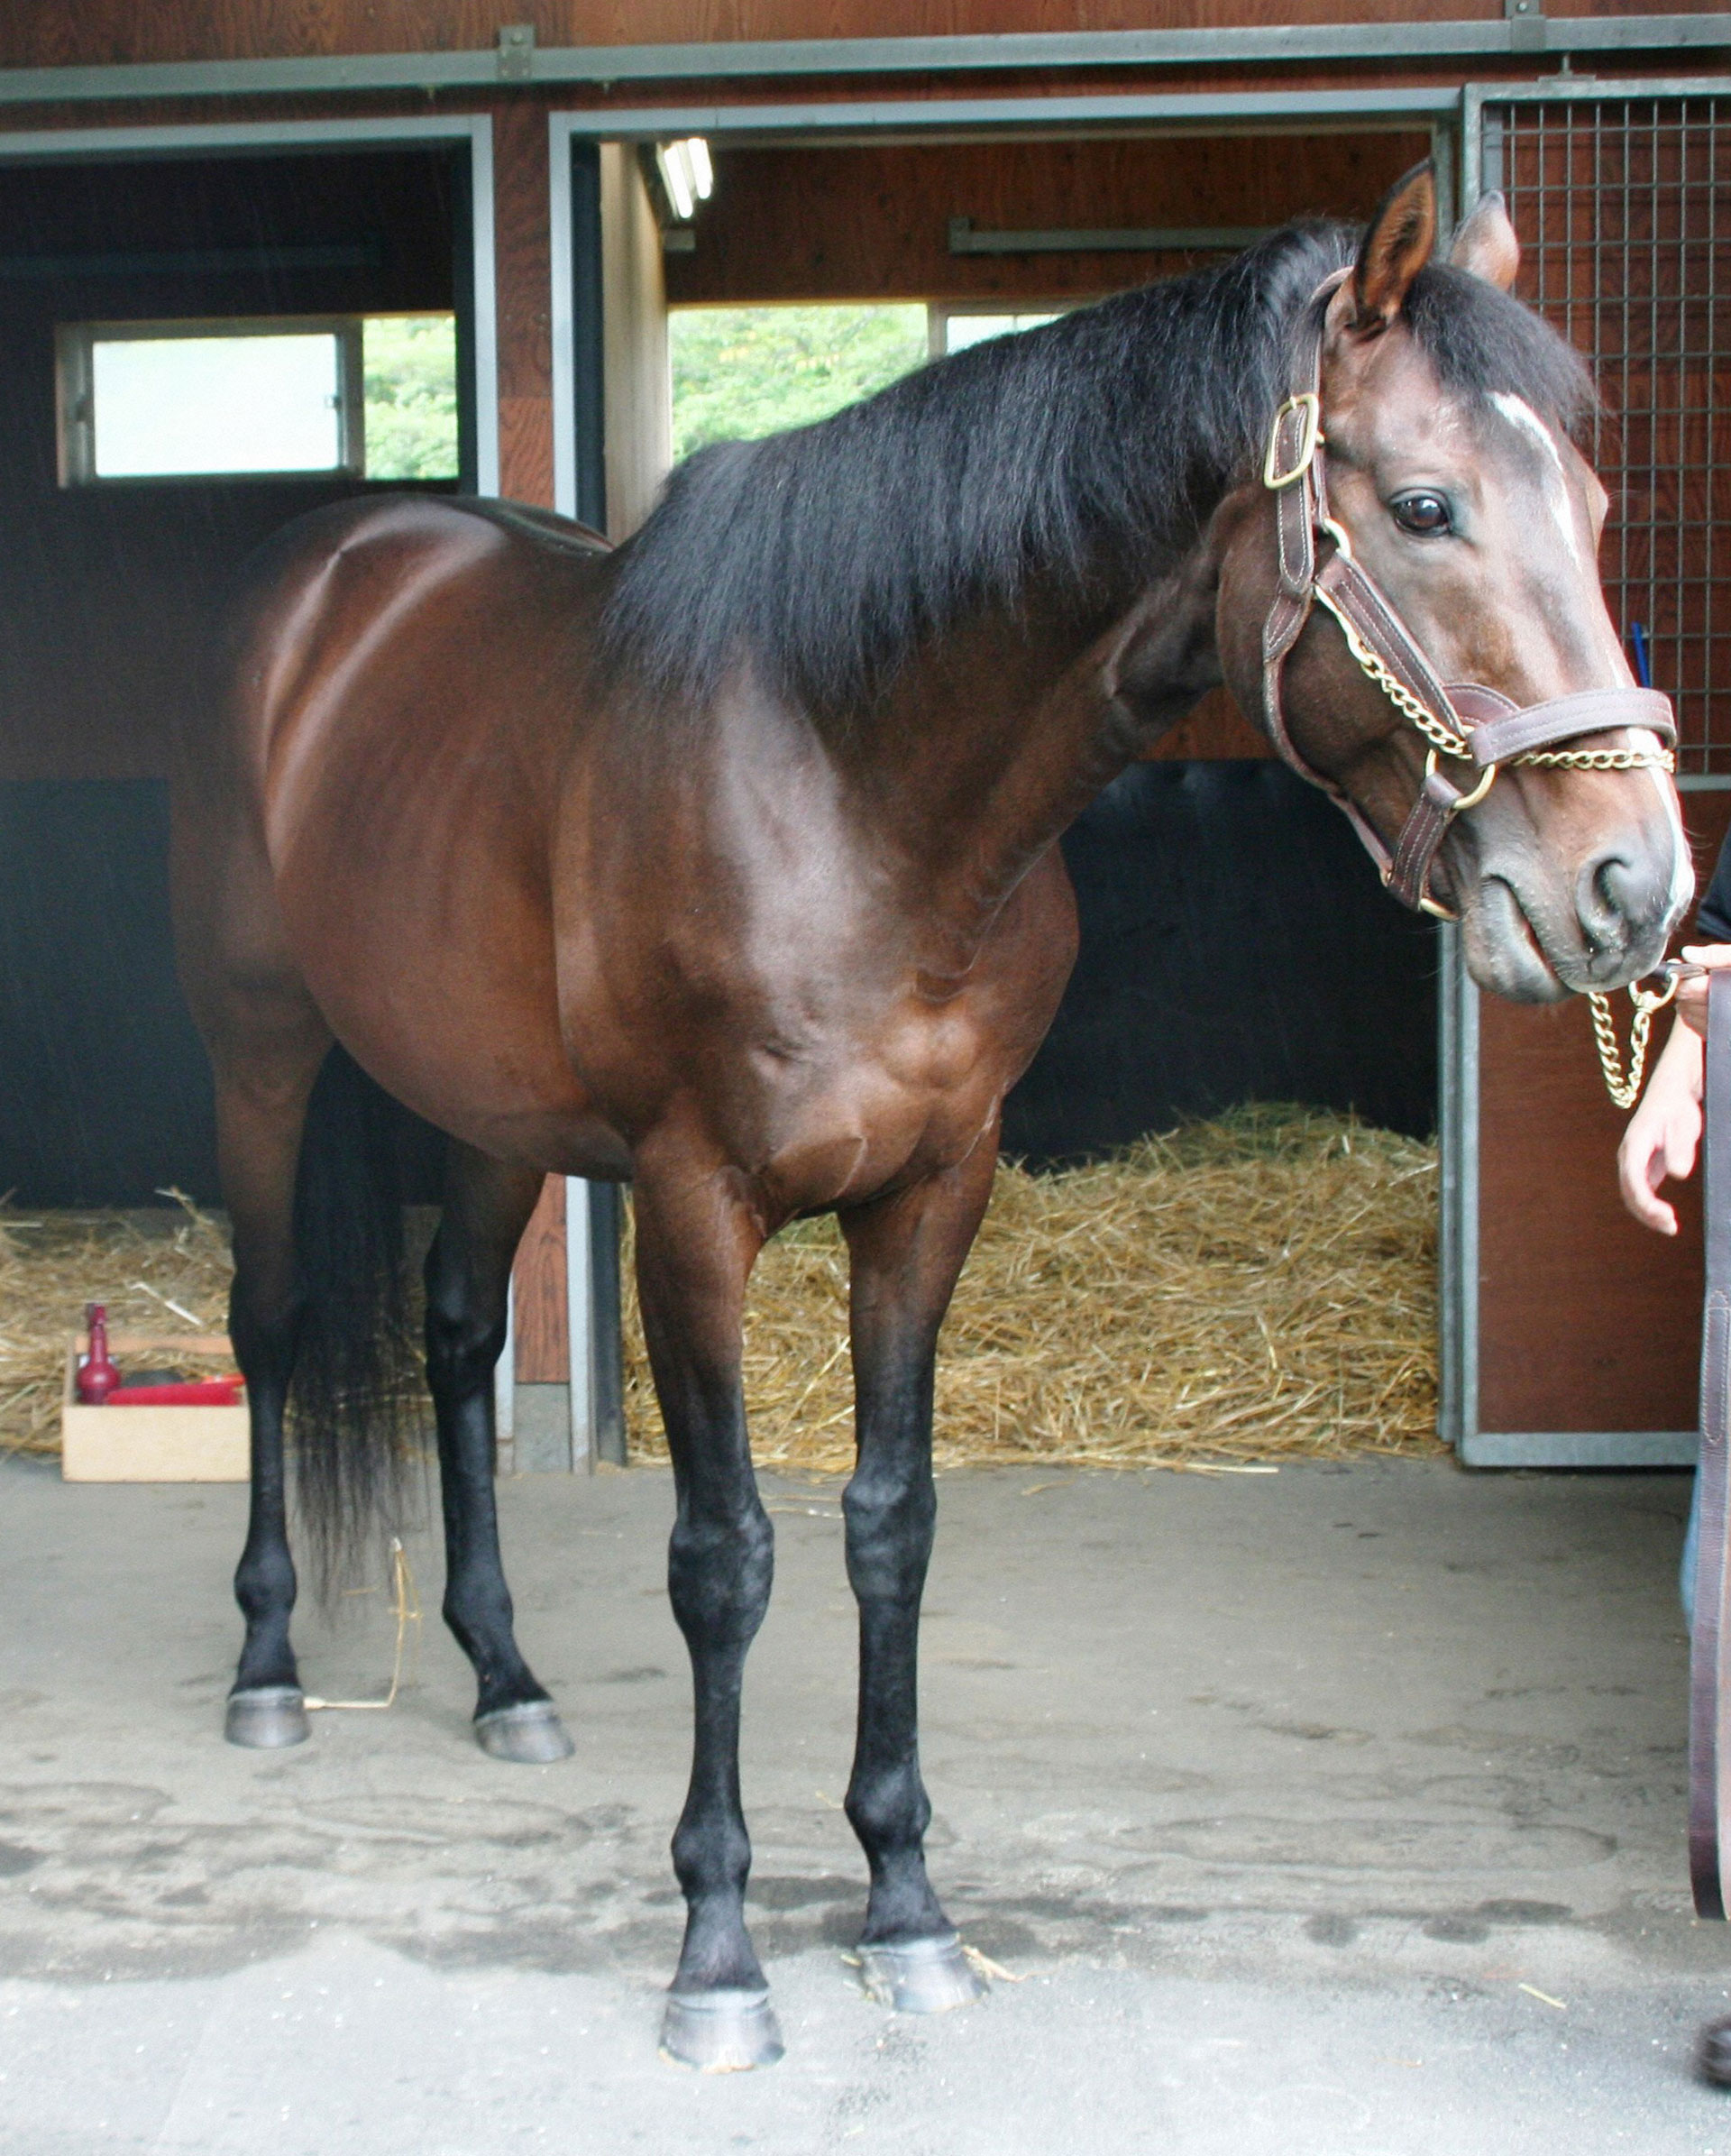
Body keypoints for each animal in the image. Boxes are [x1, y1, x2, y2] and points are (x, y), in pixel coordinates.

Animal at [171, 163, 1689, 2069]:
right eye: (1426, 506)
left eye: (1597, 501)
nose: (1635, 886)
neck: (847, 773)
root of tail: (327, 579)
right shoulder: (693, 1205)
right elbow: (725, 1557)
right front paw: (719, 1949)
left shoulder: (932, 1189)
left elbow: (891, 1528)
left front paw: (904, 1904)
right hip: (261, 1048)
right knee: (274, 1324)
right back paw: (267, 1671)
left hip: (491, 1109)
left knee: (454, 1340)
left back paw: (506, 1679)